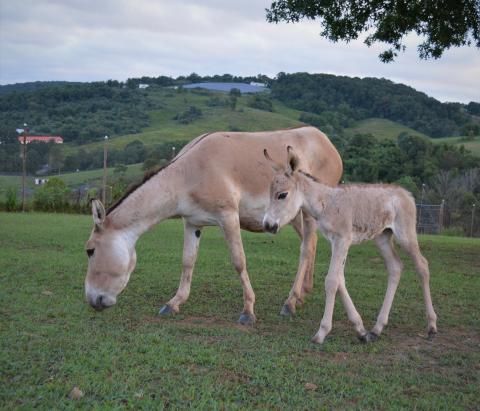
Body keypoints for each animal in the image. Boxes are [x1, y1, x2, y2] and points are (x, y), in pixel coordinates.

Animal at [264, 148, 436, 344]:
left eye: (282, 195)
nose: (267, 225)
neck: (325, 203)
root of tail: (406, 193)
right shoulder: (335, 242)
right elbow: (340, 279)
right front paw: (360, 329)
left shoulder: (342, 240)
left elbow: (332, 281)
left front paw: (321, 333)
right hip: (382, 237)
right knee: (396, 267)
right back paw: (376, 329)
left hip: (405, 235)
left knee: (422, 266)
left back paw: (431, 326)